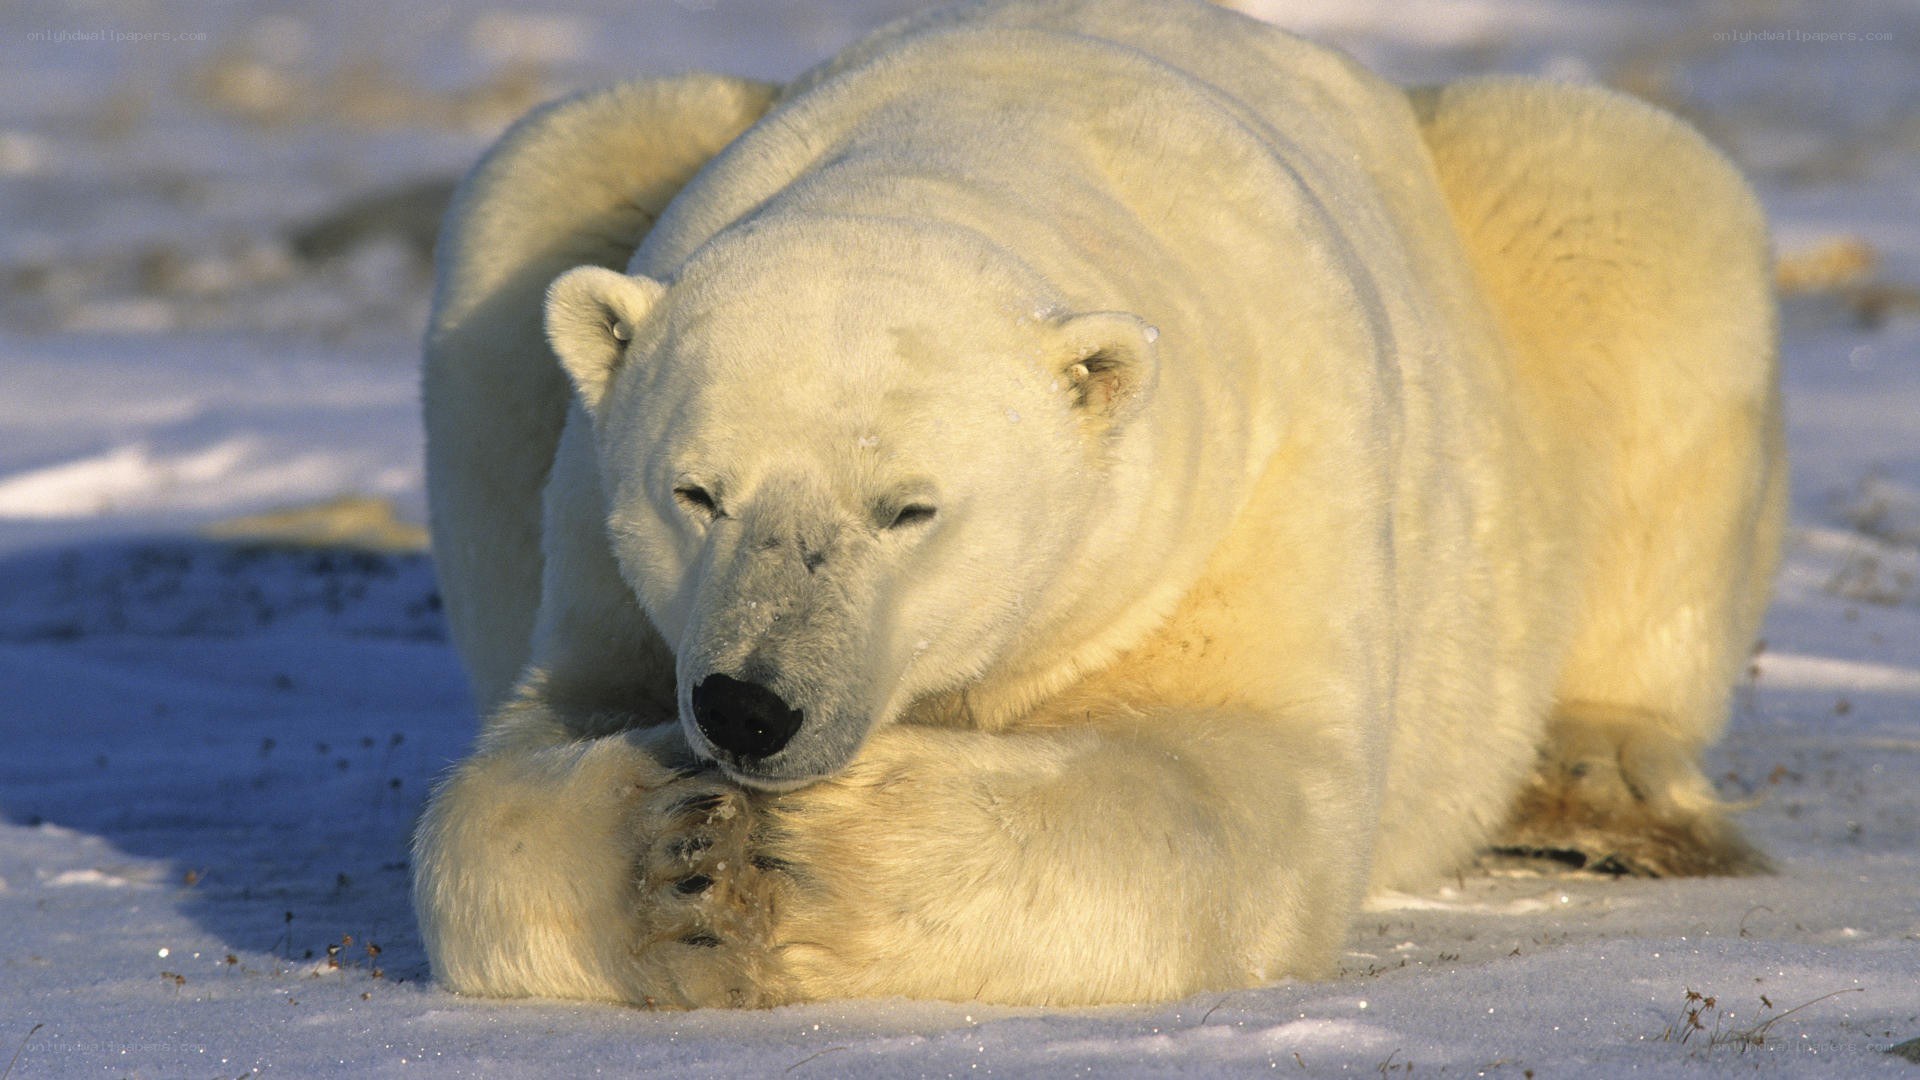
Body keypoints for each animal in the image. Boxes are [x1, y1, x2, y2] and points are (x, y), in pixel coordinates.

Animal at [412, 0, 1784, 1008]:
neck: (980, 141)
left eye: (907, 509)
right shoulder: (610, 562)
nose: (750, 707)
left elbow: (1241, 781)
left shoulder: (1255, 478)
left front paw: (800, 855)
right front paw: (678, 849)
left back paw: (1605, 778)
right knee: (537, 183)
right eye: (696, 491)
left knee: (1640, 208)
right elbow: (521, 765)